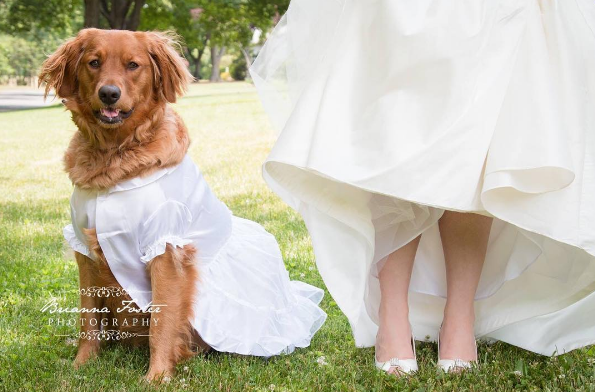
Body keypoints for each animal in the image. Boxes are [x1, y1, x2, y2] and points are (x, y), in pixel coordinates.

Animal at [37, 29, 210, 382]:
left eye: (133, 65)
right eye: (94, 62)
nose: (109, 94)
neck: (113, 154)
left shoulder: (165, 251)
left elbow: (162, 322)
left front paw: (157, 377)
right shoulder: (85, 250)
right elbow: (88, 318)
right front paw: (81, 366)